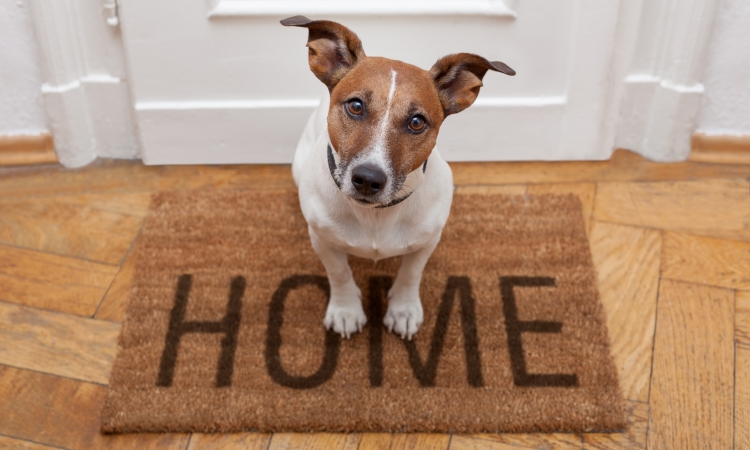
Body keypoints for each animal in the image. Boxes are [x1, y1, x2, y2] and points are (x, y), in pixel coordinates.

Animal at [284, 15, 516, 340]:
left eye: (417, 122)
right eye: (355, 106)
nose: (368, 179)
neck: (376, 215)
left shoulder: (428, 241)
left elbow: (410, 273)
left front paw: (403, 310)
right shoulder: (322, 240)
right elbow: (339, 273)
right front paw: (345, 310)